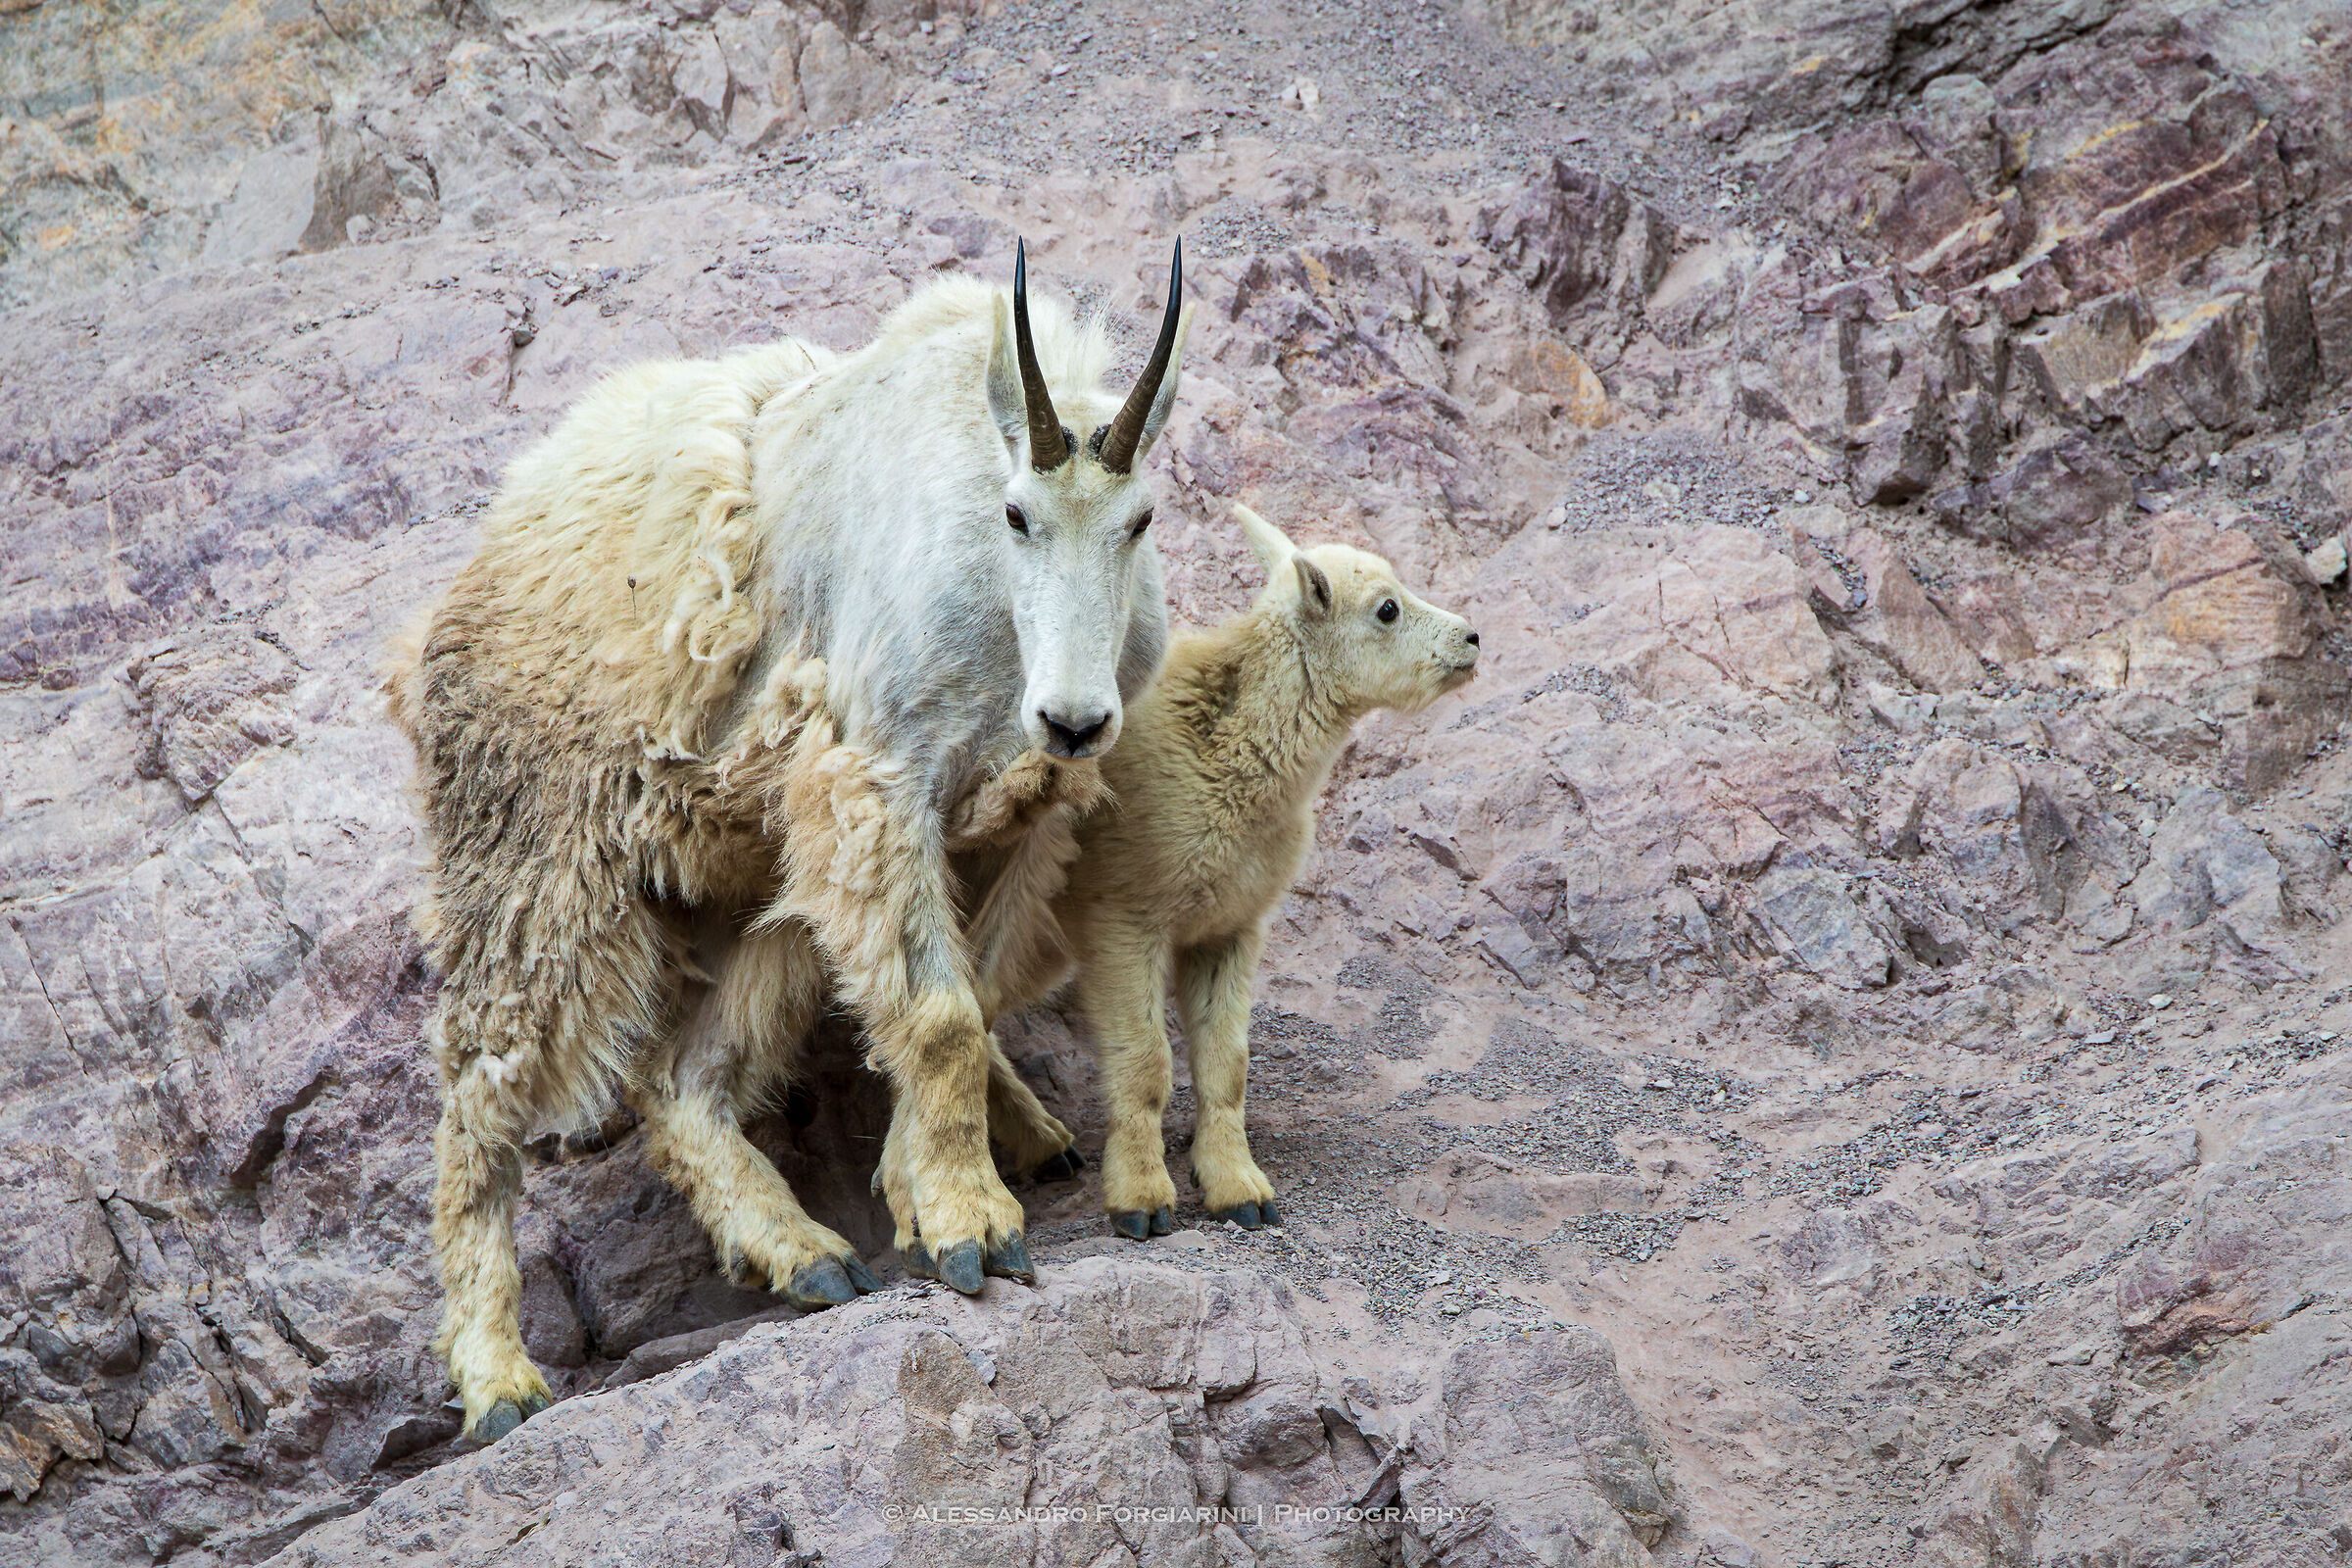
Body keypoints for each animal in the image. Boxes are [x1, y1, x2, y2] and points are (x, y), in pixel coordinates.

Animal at [388, 245, 1192, 1442]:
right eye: (1016, 516)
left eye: (1140, 521)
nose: (1076, 719)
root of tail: (451, 605)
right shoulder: (881, 784)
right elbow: (943, 1019)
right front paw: (972, 1228)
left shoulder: (1017, 821)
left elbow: (969, 997)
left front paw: (920, 1197)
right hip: (538, 863)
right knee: (480, 1097)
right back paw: (498, 1381)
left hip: (760, 870)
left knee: (682, 1073)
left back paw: (810, 1253)